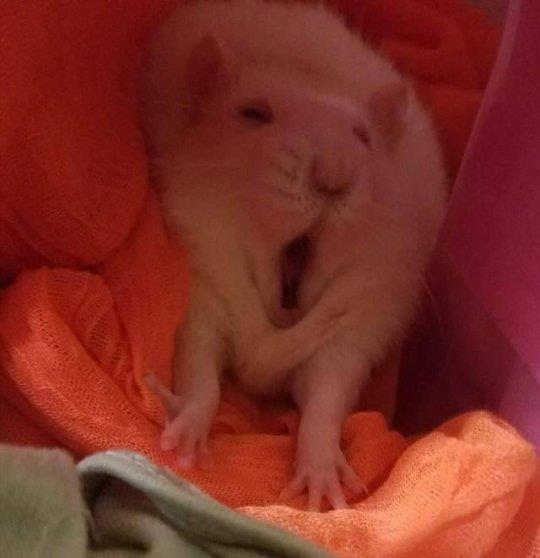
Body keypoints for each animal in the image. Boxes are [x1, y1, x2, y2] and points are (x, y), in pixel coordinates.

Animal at [140, 0, 446, 510]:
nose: (335, 173)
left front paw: (321, 470)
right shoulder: (202, 291)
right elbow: (199, 363)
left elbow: (328, 395)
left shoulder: (353, 332)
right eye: (252, 113)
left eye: (363, 137)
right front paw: (187, 429)